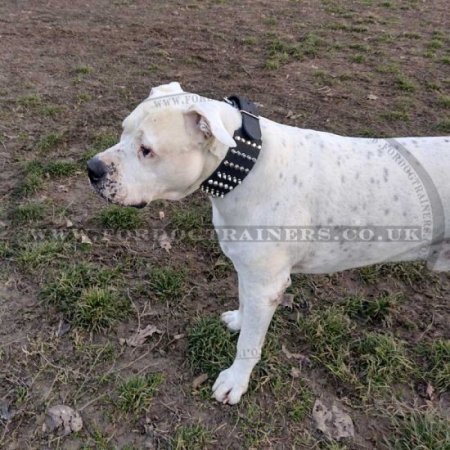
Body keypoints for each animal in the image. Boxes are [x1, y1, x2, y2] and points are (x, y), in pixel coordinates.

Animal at [88, 82, 450, 406]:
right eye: (123, 131)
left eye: (147, 150)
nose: (93, 169)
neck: (245, 168)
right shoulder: (249, 273)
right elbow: (244, 305)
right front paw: (239, 320)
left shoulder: (267, 284)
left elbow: (249, 343)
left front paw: (235, 381)